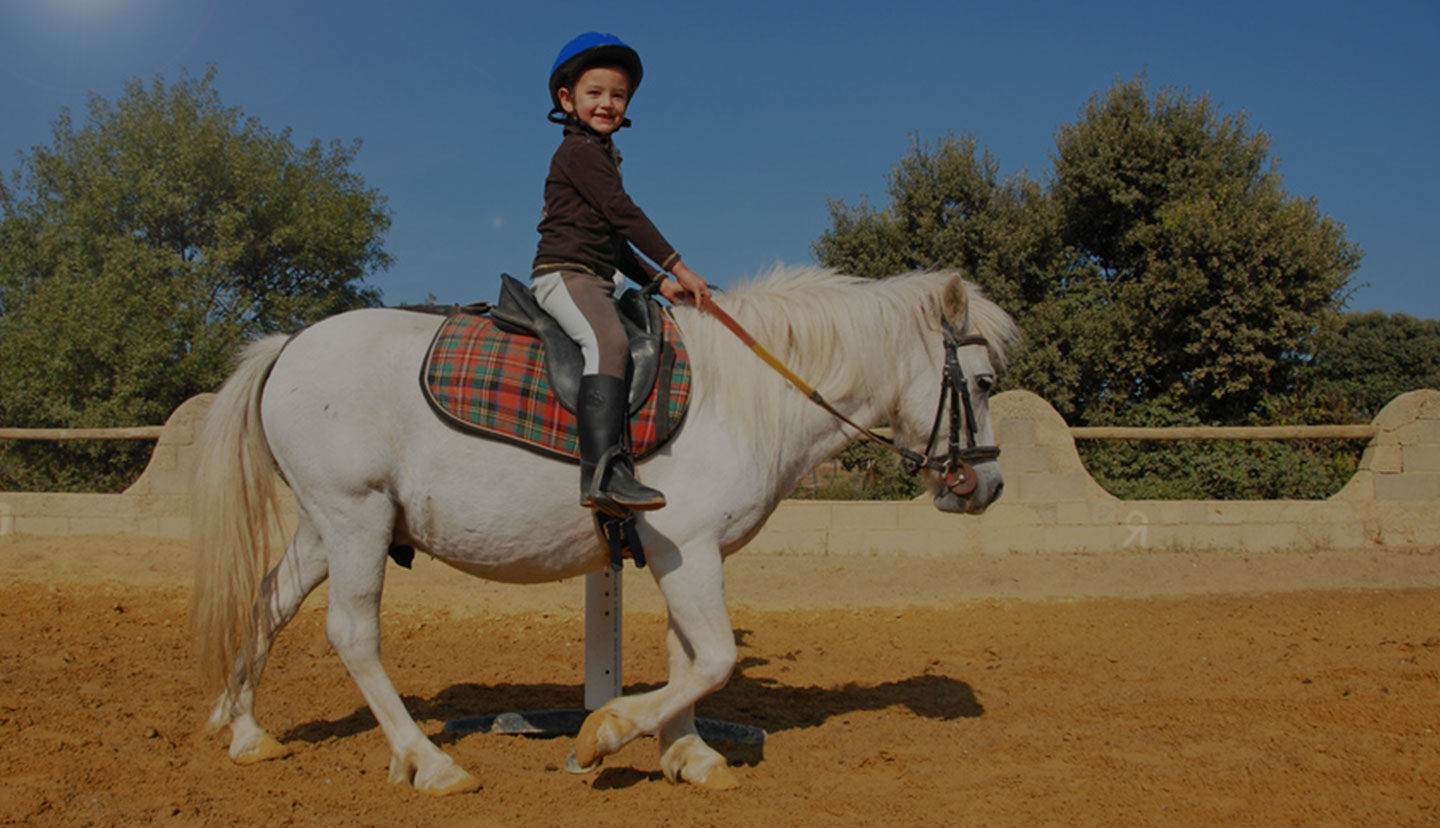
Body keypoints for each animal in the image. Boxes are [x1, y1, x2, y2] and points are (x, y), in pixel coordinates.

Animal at [194, 267, 1025, 794]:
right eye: (983, 383)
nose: (987, 486)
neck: (745, 391)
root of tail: (287, 346)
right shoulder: (685, 545)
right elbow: (714, 658)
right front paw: (603, 736)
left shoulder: (690, 554)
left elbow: (689, 656)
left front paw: (688, 754)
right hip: (356, 517)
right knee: (352, 635)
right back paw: (429, 762)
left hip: (324, 526)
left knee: (268, 605)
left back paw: (245, 732)